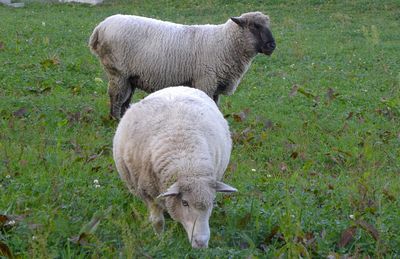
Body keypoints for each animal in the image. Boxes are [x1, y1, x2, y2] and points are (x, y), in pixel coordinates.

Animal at [88, 11, 276, 119]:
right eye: (254, 26)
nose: (272, 46)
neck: (225, 43)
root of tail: (99, 28)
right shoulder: (205, 81)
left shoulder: (215, 86)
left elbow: (215, 106)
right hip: (118, 72)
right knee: (116, 97)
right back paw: (114, 120)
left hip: (130, 77)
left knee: (125, 99)